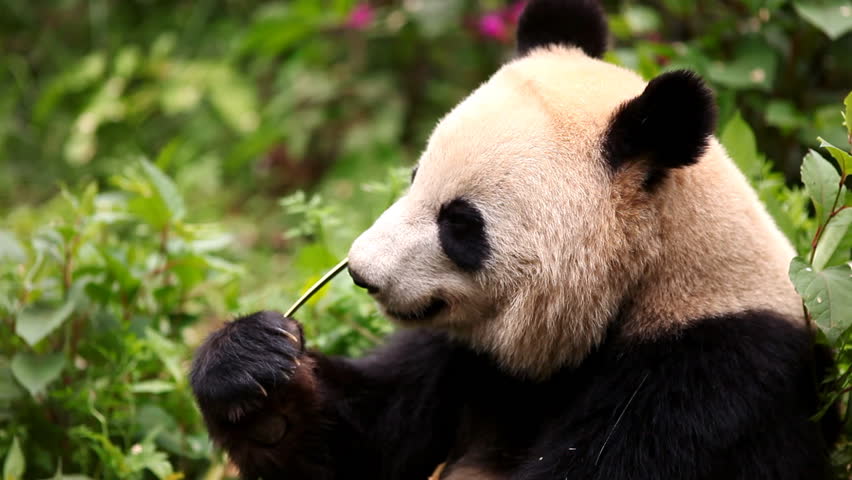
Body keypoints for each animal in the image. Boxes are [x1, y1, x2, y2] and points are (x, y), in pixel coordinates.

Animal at [190, 0, 836, 478]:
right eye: (415, 176)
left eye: (460, 223)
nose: (361, 272)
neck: (649, 279)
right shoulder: (470, 361)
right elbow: (358, 445)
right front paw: (255, 373)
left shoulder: (708, 380)